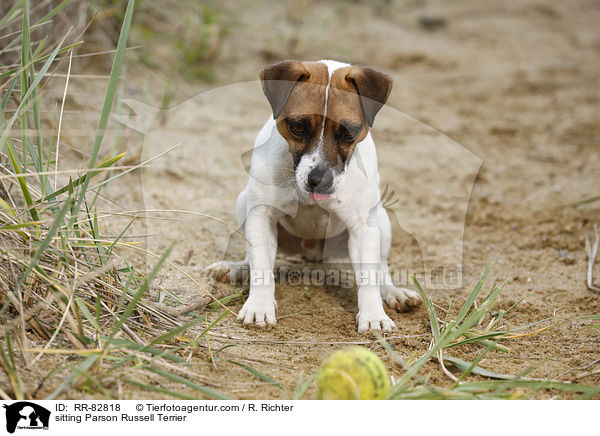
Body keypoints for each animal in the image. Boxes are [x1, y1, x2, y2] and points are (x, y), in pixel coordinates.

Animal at [209, 58, 420, 330]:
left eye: (349, 131)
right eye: (298, 126)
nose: (319, 181)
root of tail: (312, 252)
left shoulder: (363, 228)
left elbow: (368, 277)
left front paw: (374, 316)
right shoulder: (261, 216)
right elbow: (262, 267)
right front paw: (259, 306)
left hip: (381, 222)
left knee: (381, 268)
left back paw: (394, 293)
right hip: (243, 203)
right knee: (251, 256)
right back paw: (238, 269)